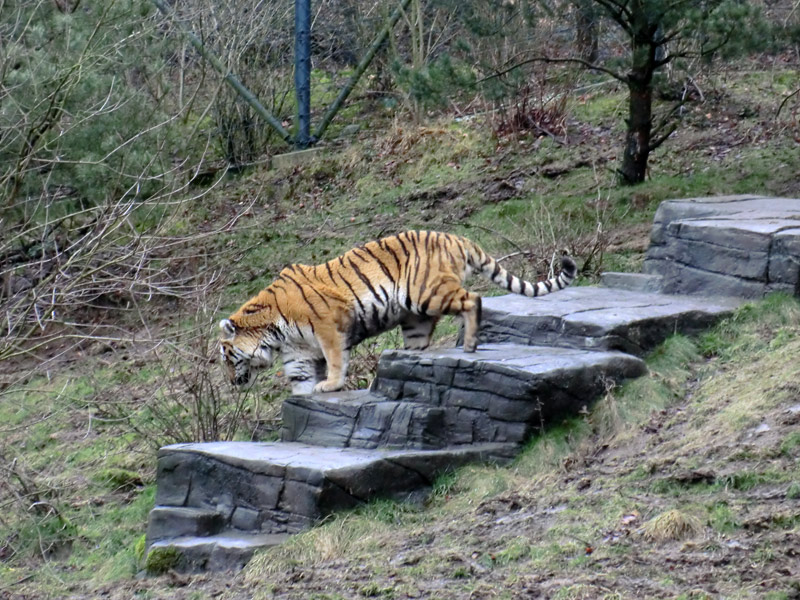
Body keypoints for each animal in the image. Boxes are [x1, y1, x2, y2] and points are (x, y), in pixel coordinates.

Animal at [222, 230, 580, 394]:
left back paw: (469, 344)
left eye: (226, 357)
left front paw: (331, 385)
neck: (272, 332)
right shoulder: (296, 351)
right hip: (415, 318)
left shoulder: (328, 326)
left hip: (428, 293)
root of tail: (455, 236)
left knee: (473, 299)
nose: (231, 383)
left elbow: (336, 359)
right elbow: (299, 377)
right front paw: (303, 397)